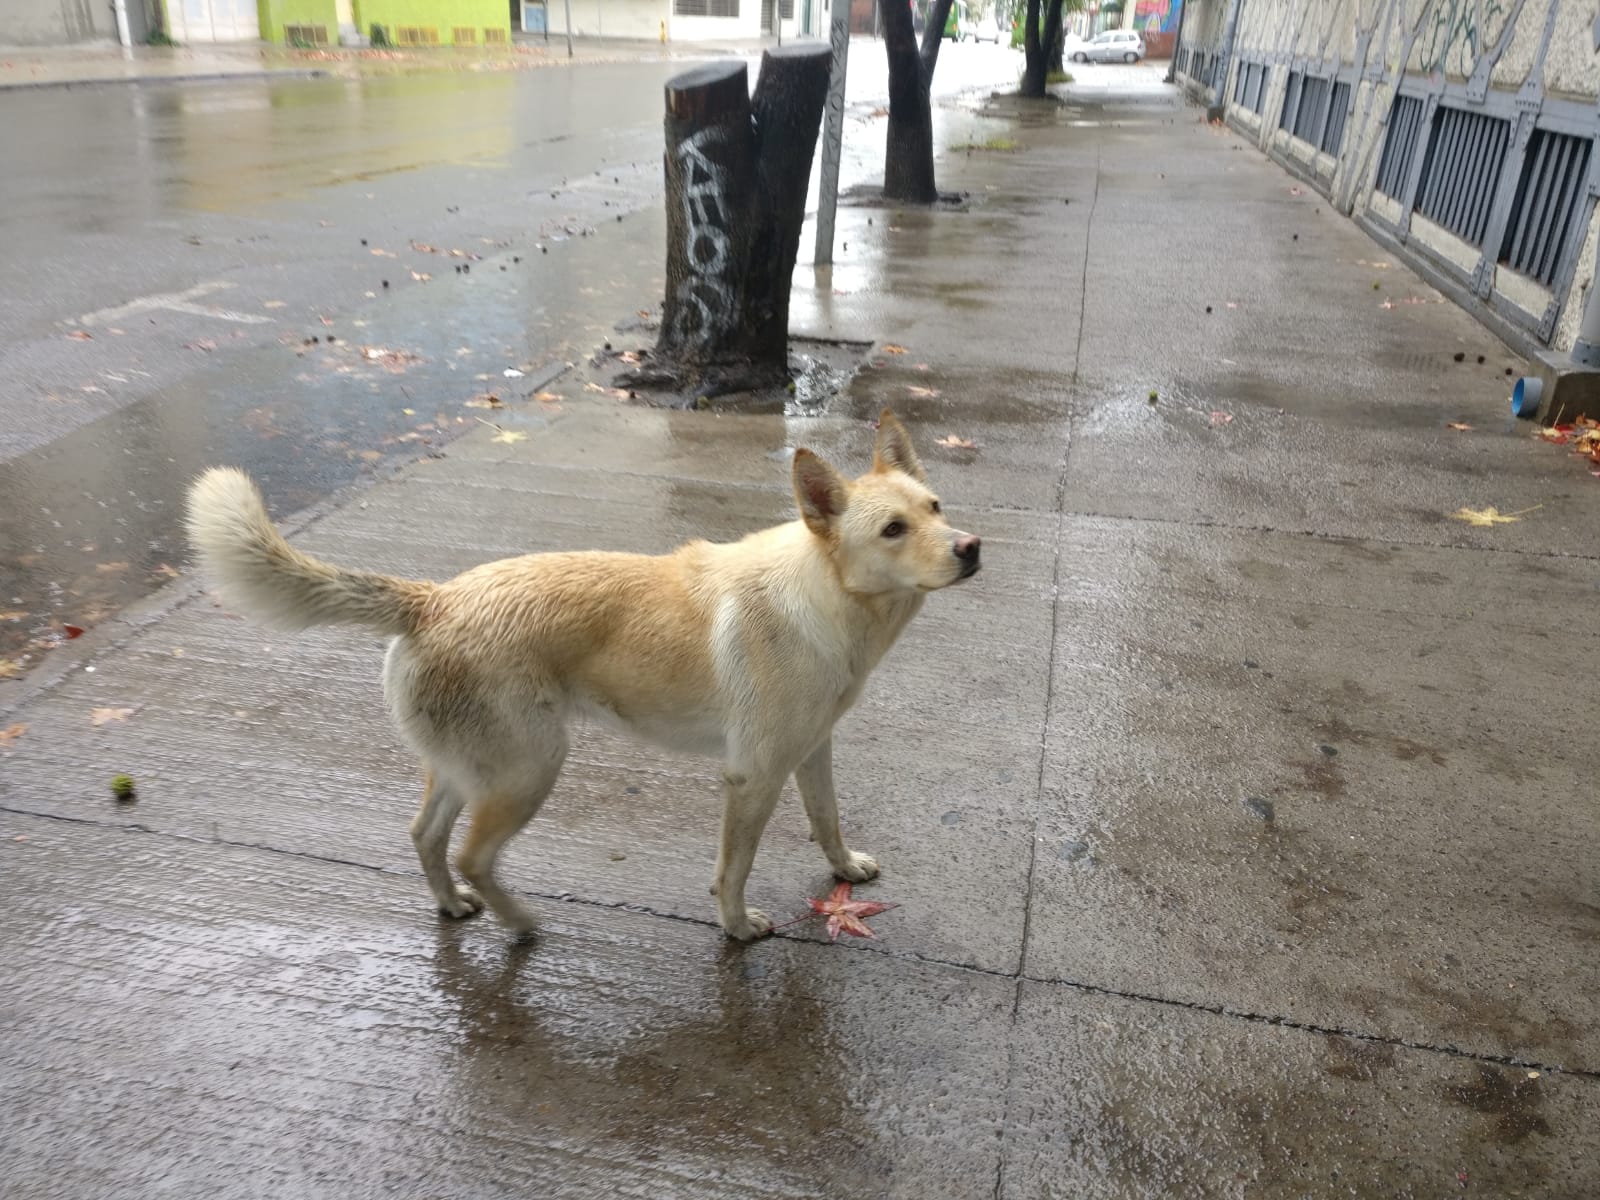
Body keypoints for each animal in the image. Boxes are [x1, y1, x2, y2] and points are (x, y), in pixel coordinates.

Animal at [185, 411, 980, 940]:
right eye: (893, 530)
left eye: (936, 507)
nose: (971, 547)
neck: (825, 594)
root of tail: (433, 599)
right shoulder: (753, 777)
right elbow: (736, 866)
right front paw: (735, 925)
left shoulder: (811, 753)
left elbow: (826, 820)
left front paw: (843, 868)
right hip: (530, 771)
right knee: (473, 854)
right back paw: (521, 923)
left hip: (471, 769)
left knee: (425, 838)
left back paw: (452, 905)